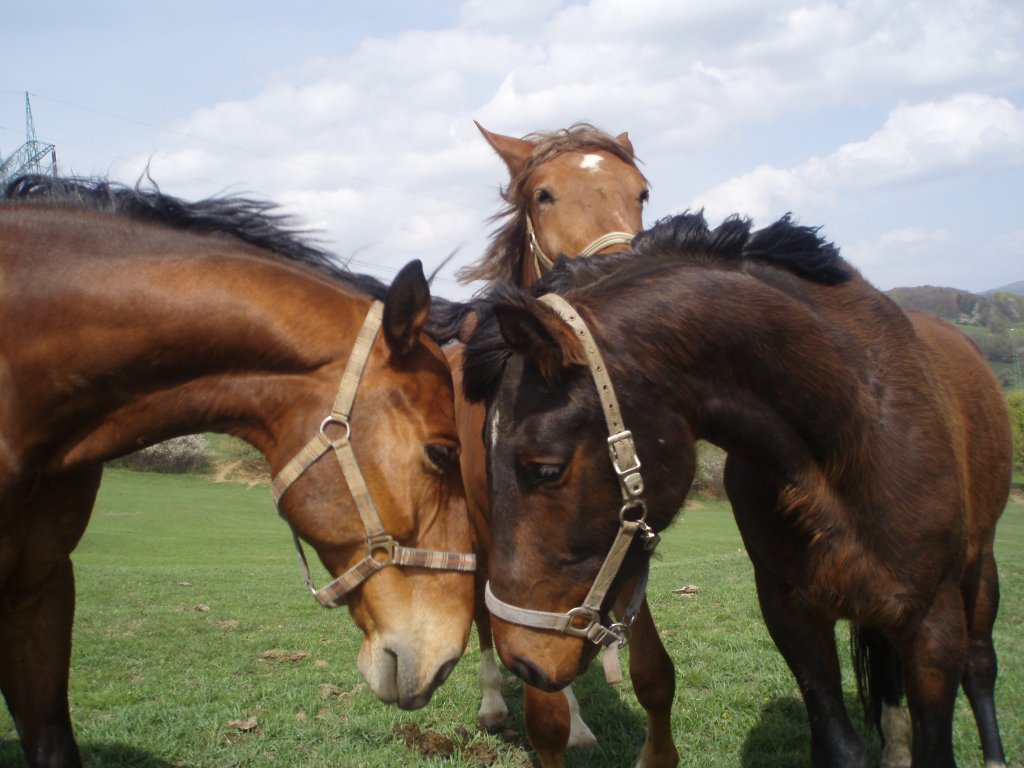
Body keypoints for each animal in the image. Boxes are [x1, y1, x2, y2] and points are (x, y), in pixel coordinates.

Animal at [440, 124, 679, 768]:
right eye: (544, 195)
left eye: (642, 192)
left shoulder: (623, 525)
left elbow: (652, 671)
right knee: (486, 614)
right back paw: (494, 703)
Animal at [462, 211, 1007, 768]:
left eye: (545, 469)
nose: (523, 660)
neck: (852, 430)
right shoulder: (793, 617)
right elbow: (840, 745)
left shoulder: (933, 627)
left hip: (979, 570)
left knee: (981, 664)